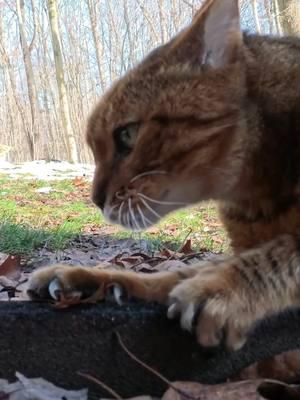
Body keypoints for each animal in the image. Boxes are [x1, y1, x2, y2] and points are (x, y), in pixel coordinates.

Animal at [28, 0, 300, 354]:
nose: (96, 200)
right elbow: (174, 275)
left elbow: (276, 257)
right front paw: (92, 277)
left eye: (127, 135)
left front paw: (221, 289)